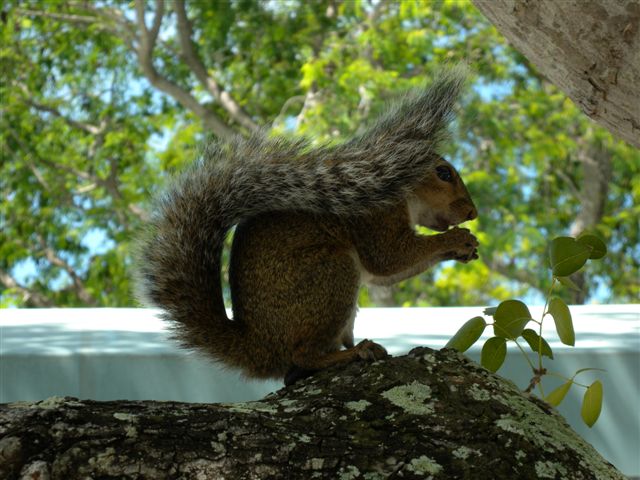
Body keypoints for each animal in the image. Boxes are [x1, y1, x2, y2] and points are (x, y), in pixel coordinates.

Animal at [134, 67, 479, 385]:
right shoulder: (376, 217)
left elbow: (385, 273)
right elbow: (388, 257)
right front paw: (457, 239)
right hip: (329, 272)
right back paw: (353, 353)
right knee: (303, 355)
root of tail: (257, 347)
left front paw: (464, 248)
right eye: (443, 173)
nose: (473, 213)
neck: (404, 192)